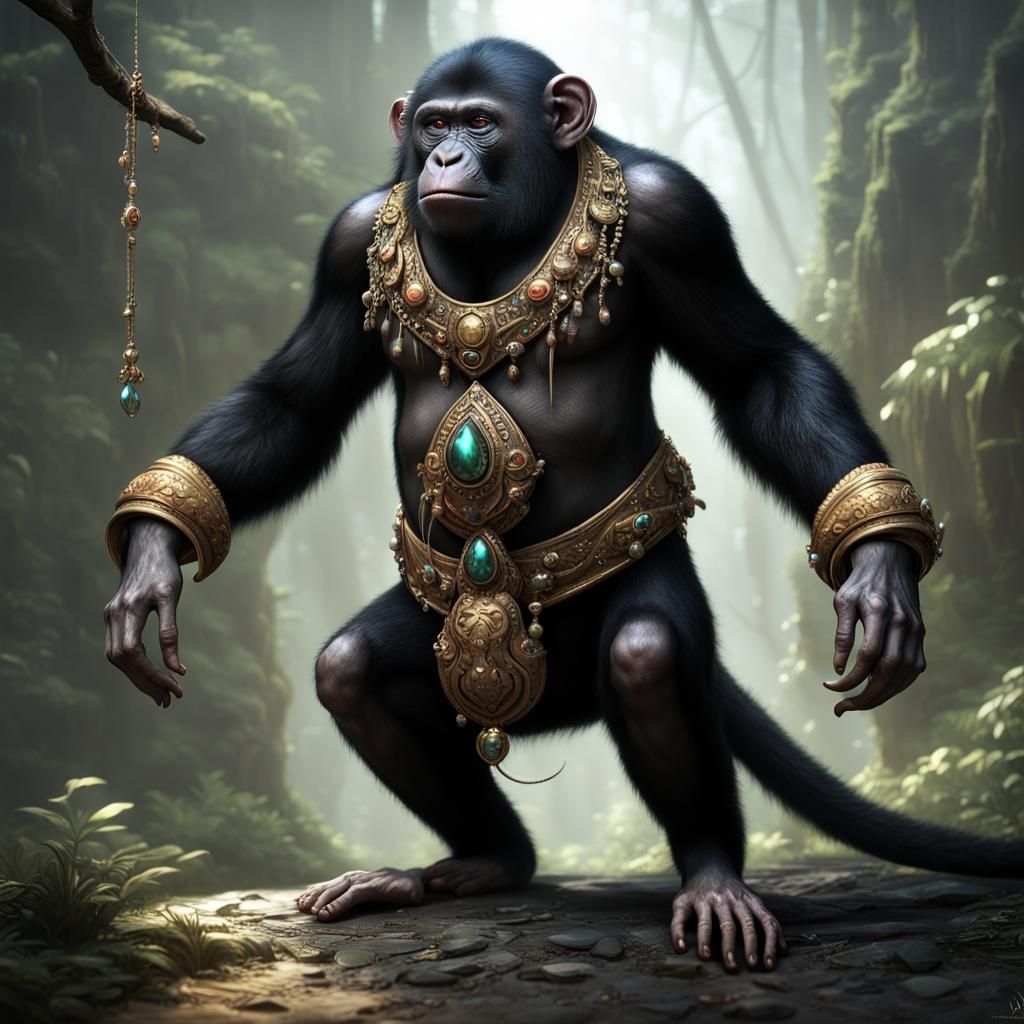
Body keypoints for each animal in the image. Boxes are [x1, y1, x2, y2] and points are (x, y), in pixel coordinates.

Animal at [103, 39, 1023, 973]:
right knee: (350, 672)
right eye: (433, 123)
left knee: (648, 659)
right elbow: (294, 404)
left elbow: (761, 371)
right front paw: (151, 557)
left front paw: (879, 567)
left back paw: (712, 876)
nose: (444, 159)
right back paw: (483, 860)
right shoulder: (344, 241)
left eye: (480, 124)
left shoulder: (681, 218)